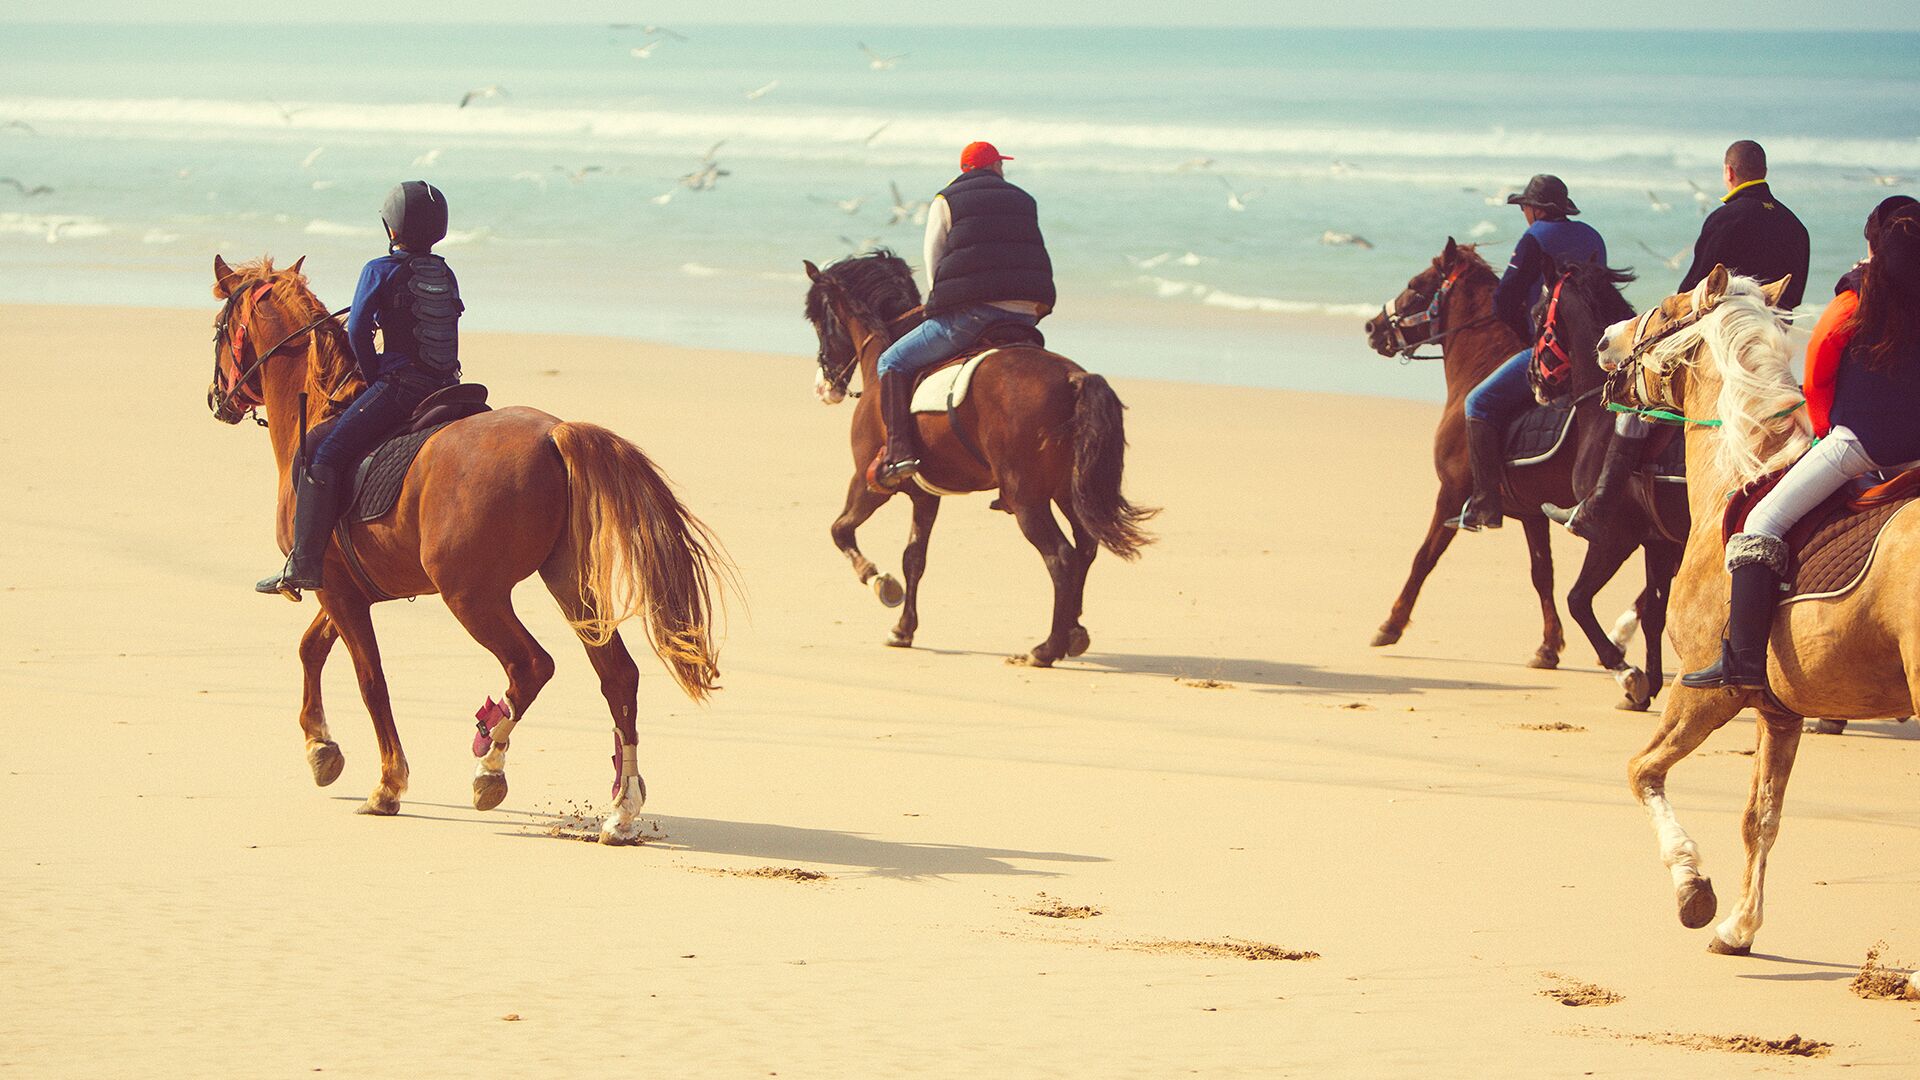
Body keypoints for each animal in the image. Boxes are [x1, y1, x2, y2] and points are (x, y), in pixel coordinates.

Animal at [204, 253, 725, 841]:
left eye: (218, 328)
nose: (215, 399)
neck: (317, 410)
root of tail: (554, 433)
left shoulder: (335, 588)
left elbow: (370, 680)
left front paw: (387, 785)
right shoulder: (347, 588)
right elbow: (311, 649)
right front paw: (322, 749)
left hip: (472, 597)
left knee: (531, 666)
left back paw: (490, 764)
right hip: (569, 585)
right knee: (618, 676)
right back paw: (621, 809)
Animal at [798, 251, 1152, 664]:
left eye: (817, 318)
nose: (824, 387)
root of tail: (1073, 379)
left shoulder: (869, 484)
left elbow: (841, 530)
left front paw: (879, 582)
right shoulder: (925, 496)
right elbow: (913, 558)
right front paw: (903, 628)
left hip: (1028, 499)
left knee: (1062, 558)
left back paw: (1046, 648)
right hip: (1067, 492)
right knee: (1085, 550)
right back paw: (1073, 633)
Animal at [1359, 237, 1566, 664]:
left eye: (1415, 285)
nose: (1372, 326)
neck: (1483, 365)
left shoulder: (1452, 494)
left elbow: (1423, 558)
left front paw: (1391, 624)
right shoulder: (1532, 514)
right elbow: (1543, 574)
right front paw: (1549, 645)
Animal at [1528, 261, 1681, 707]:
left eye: (1536, 315)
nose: (1532, 379)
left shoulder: (1614, 537)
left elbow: (1577, 600)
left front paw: (1627, 673)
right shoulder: (1657, 542)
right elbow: (1655, 613)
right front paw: (1647, 682)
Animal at [1597, 265, 1912, 953]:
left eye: (1666, 310)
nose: (1606, 338)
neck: (1740, 477)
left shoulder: (1707, 692)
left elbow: (1642, 772)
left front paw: (1692, 890)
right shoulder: (1778, 711)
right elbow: (1760, 816)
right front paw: (1739, 926)